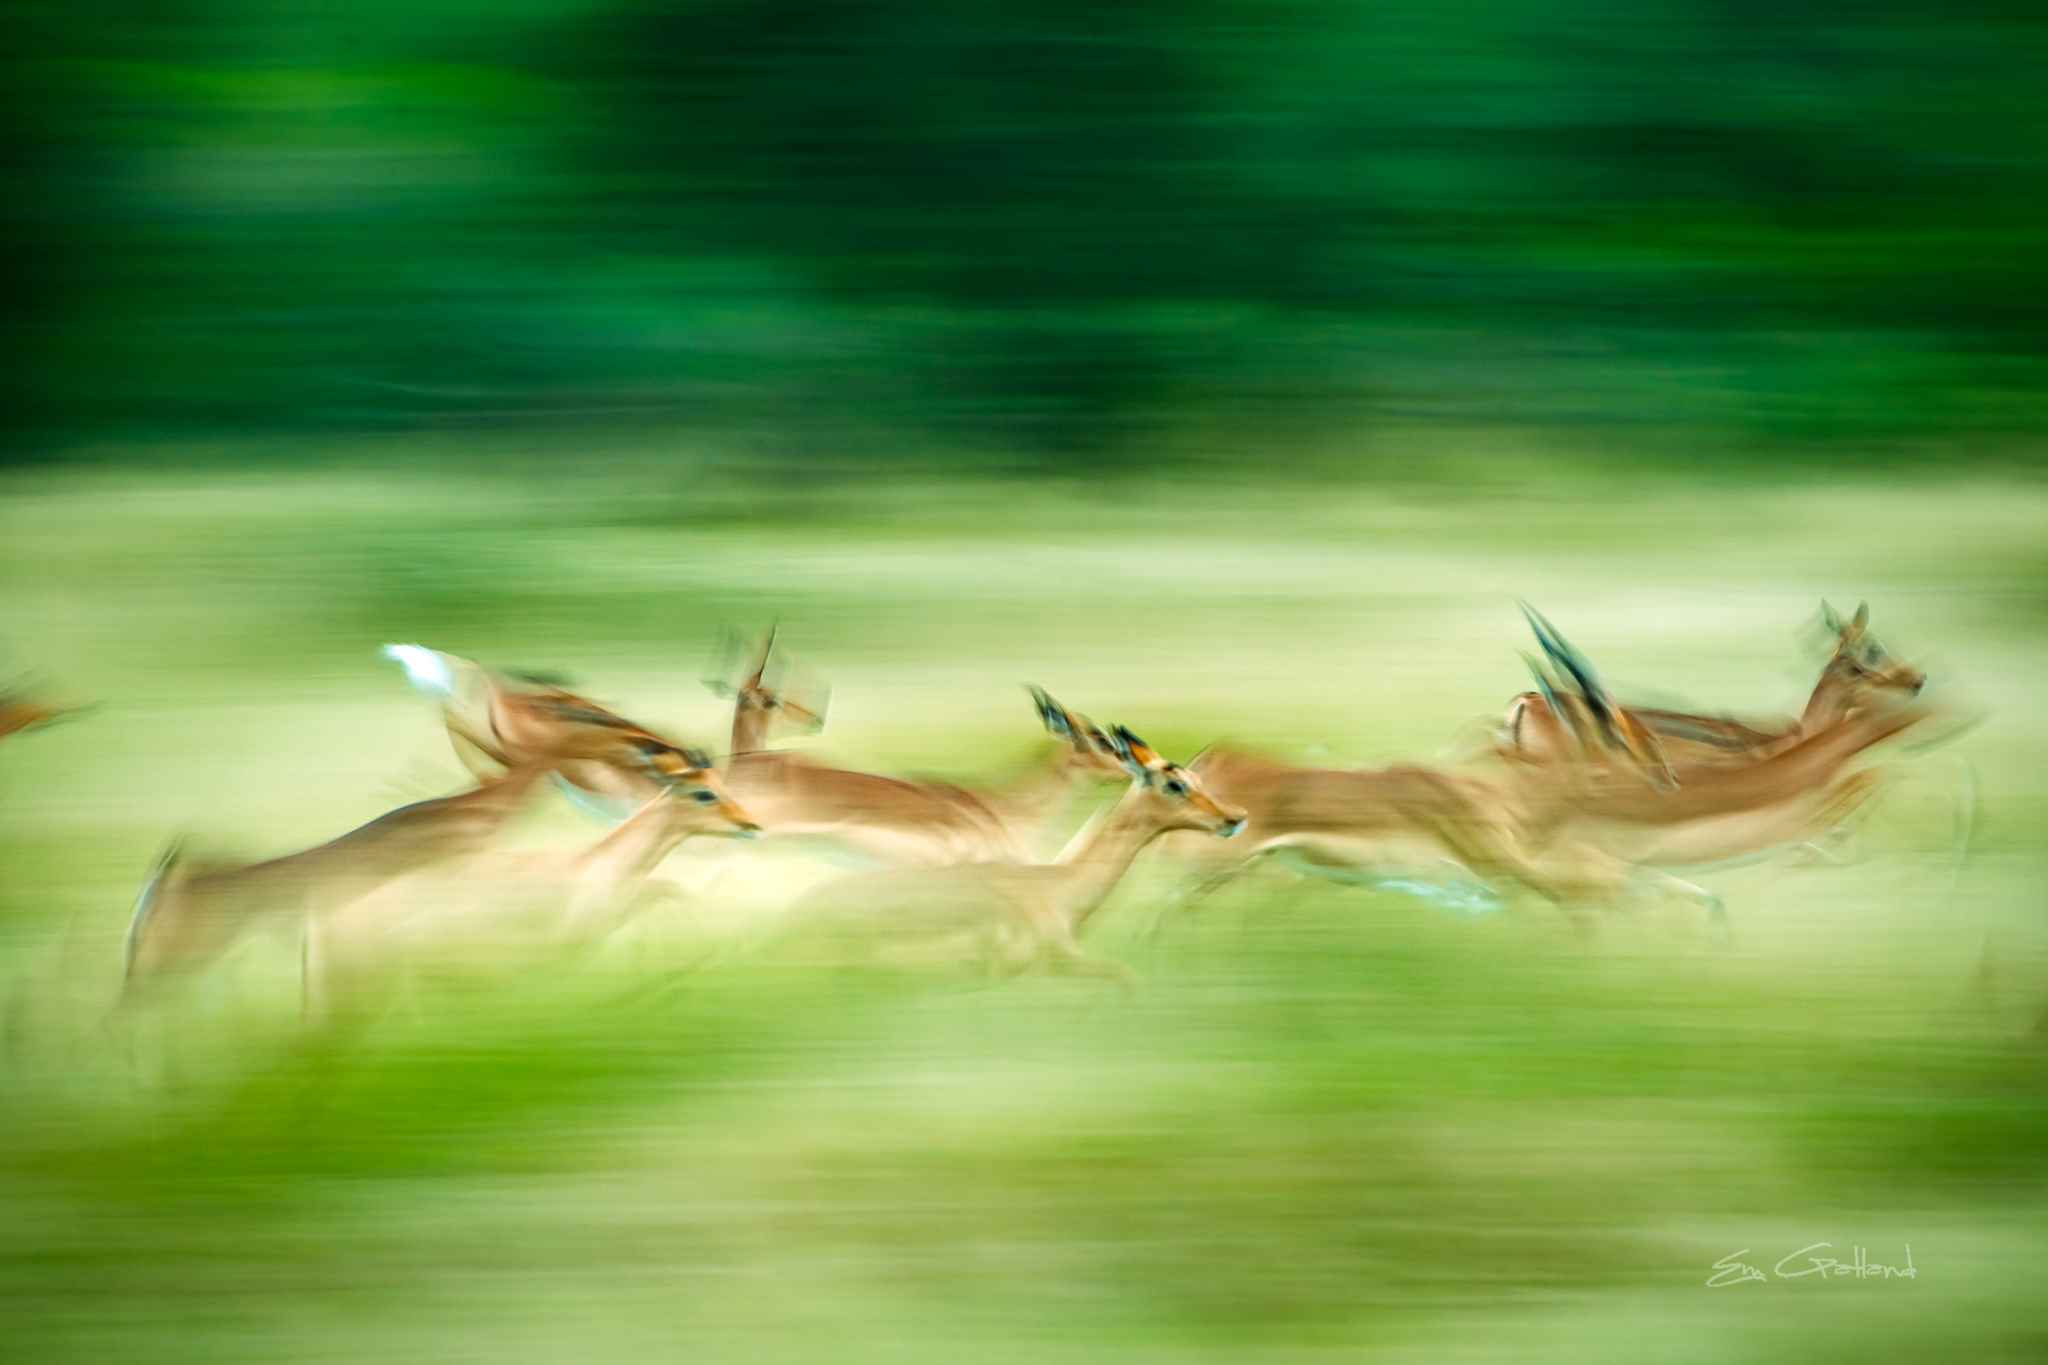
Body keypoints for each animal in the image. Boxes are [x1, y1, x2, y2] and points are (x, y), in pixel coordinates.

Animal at [302, 763, 759, 1030]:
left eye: (720, 784)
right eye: (704, 793)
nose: (750, 824)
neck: (591, 866)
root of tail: (316, 921)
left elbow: (668, 889)